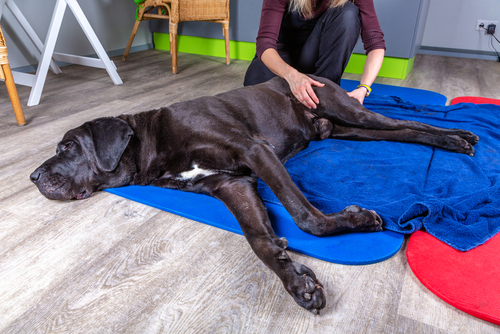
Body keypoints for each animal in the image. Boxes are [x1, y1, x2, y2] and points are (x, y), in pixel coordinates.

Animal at [29, 75, 478, 314]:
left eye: (68, 147)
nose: (33, 177)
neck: (151, 142)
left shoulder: (255, 151)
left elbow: (305, 217)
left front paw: (356, 219)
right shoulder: (232, 184)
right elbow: (259, 240)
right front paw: (296, 280)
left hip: (349, 110)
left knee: (407, 122)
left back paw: (458, 136)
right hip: (343, 128)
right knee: (402, 131)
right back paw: (453, 139)